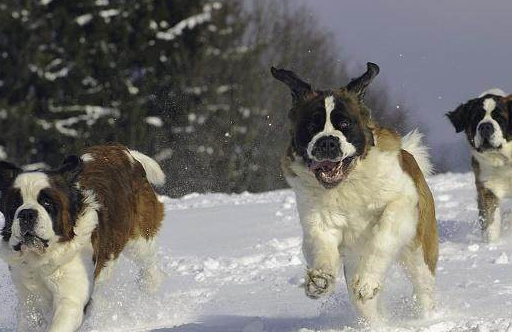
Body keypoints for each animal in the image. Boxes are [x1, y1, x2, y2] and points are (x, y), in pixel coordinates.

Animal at [0, 145, 164, 332]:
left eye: (47, 203)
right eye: (15, 204)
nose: (27, 213)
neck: (43, 259)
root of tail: (124, 150)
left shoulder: (71, 300)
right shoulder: (28, 300)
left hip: (139, 236)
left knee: (148, 261)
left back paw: (149, 283)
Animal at [274, 63, 438, 324]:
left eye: (344, 125)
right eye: (311, 127)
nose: (327, 142)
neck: (347, 182)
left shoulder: (402, 202)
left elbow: (383, 234)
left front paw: (368, 281)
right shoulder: (317, 219)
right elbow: (320, 243)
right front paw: (320, 279)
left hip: (419, 251)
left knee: (423, 287)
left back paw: (425, 317)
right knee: (363, 305)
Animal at [446, 89, 512, 243]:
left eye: (499, 118)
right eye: (477, 118)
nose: (485, 126)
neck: (503, 161)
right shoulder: (487, 188)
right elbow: (490, 221)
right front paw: (491, 244)